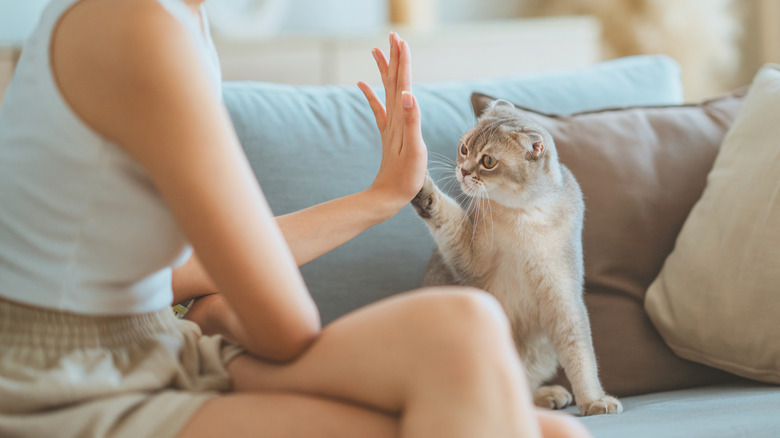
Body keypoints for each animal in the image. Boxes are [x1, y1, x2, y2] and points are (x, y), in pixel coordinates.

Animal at [414, 97, 620, 416]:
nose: (463, 171)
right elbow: (445, 213)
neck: (525, 215)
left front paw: (593, 400)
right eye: (464, 148)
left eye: (488, 161)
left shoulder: (563, 294)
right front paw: (423, 189)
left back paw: (547, 396)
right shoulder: (470, 258)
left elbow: (580, 353)